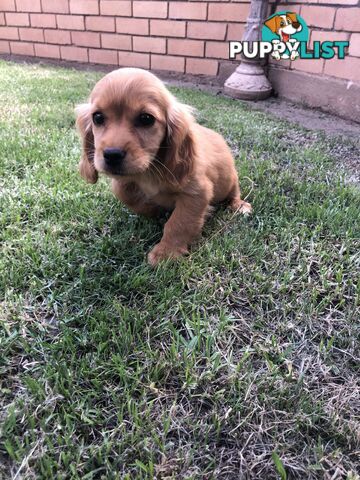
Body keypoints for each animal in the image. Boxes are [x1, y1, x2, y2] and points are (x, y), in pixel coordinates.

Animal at [76, 67, 250, 264]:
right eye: (97, 117)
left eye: (146, 119)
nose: (112, 155)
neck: (149, 171)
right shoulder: (124, 182)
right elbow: (125, 194)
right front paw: (154, 210)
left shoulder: (197, 192)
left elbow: (179, 222)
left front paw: (166, 253)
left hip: (231, 180)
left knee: (234, 193)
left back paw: (240, 206)